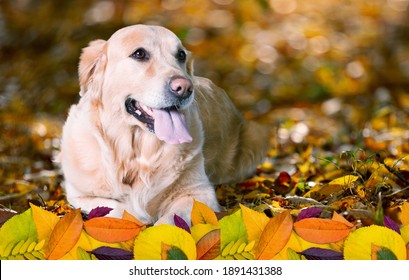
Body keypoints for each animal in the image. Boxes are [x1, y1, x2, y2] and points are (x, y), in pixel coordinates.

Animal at [57, 24, 268, 225]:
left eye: (181, 55)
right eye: (139, 54)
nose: (184, 88)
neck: (136, 155)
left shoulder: (198, 193)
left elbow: (169, 222)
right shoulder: (80, 194)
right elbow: (117, 208)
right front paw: (138, 218)